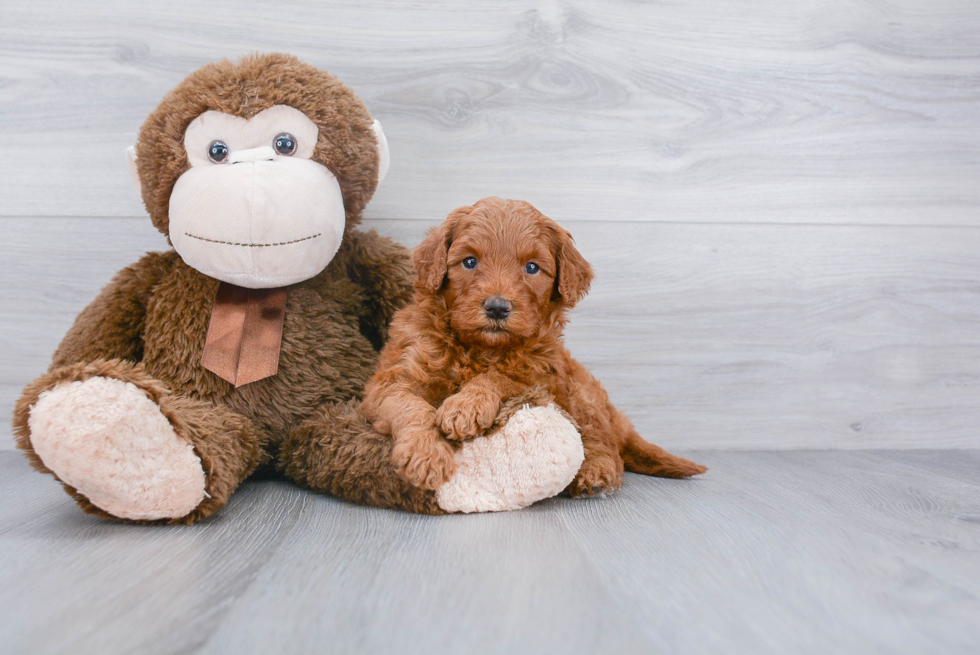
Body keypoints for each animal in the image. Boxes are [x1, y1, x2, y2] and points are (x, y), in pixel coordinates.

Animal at [360, 197, 704, 494]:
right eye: (469, 261)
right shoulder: (391, 380)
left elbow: (499, 377)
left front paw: (465, 406)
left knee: (604, 443)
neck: (481, 348)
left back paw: (595, 472)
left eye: (532, 268)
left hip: (581, 392)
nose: (498, 307)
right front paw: (426, 455)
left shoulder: (541, 377)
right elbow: (411, 407)